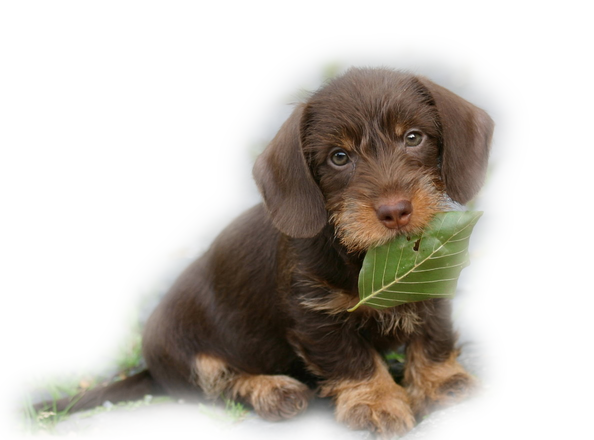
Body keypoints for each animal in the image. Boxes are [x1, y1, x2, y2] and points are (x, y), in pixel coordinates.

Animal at [48, 67, 494, 439]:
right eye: (339, 157)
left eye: (413, 137)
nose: (395, 211)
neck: (366, 256)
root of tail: (151, 370)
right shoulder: (316, 317)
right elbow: (353, 360)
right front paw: (377, 401)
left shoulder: (431, 282)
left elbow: (433, 337)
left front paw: (440, 381)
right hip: (181, 350)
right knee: (220, 384)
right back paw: (274, 390)